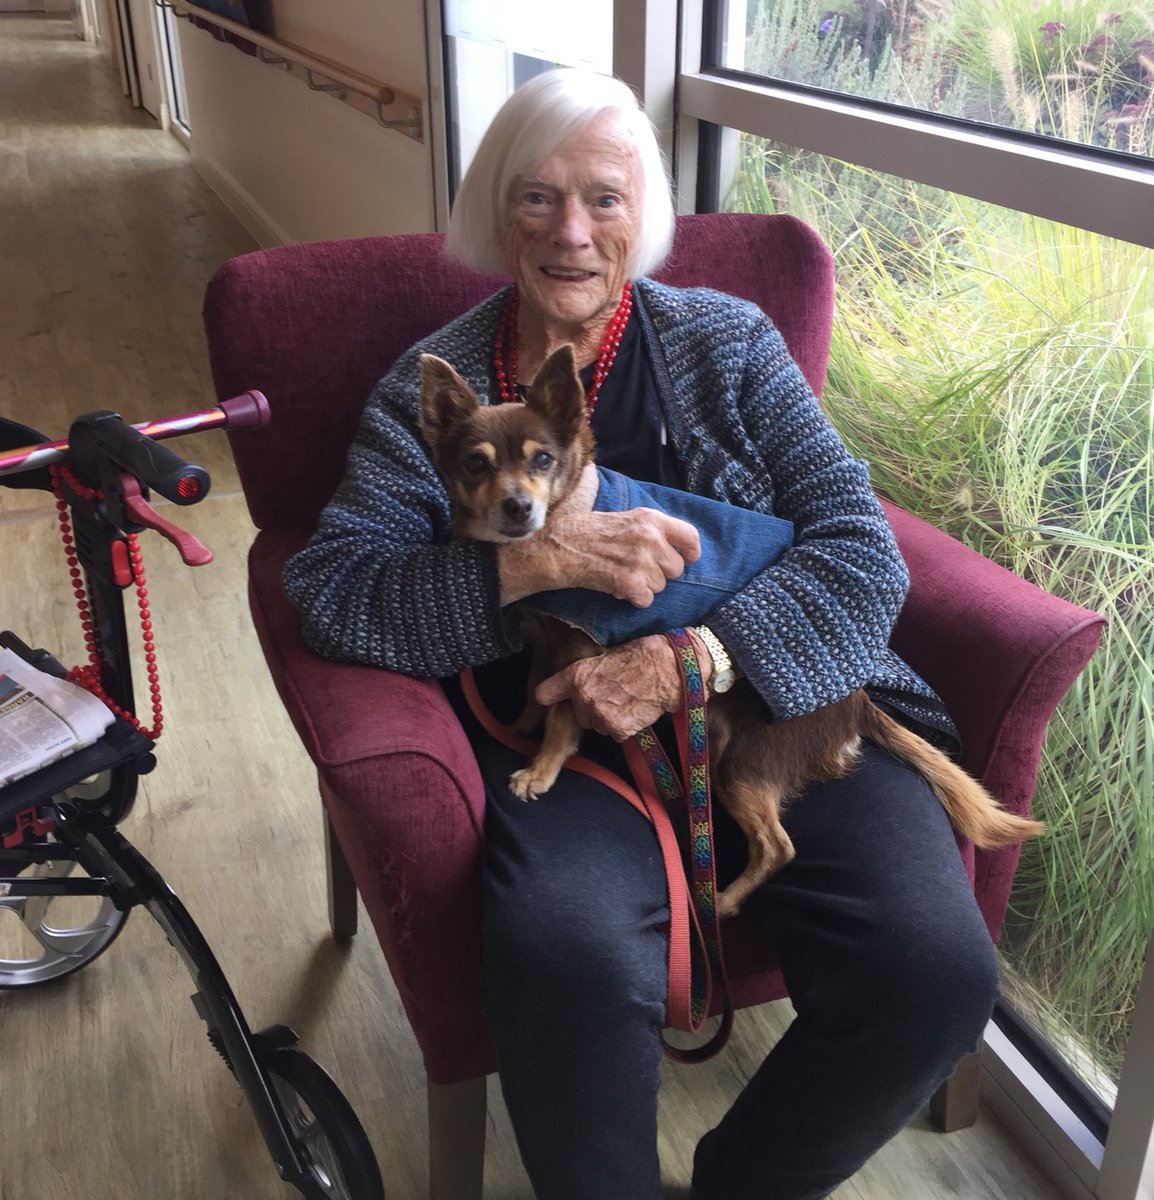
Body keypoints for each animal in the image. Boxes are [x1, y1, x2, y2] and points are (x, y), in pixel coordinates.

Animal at [418, 345, 1045, 917]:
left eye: (543, 459)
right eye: (475, 465)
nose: (518, 507)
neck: (577, 512)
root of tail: (858, 704)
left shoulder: (581, 656)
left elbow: (561, 716)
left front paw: (541, 768)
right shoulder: (547, 642)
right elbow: (533, 691)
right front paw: (516, 727)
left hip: (738, 764)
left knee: (778, 846)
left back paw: (721, 902)